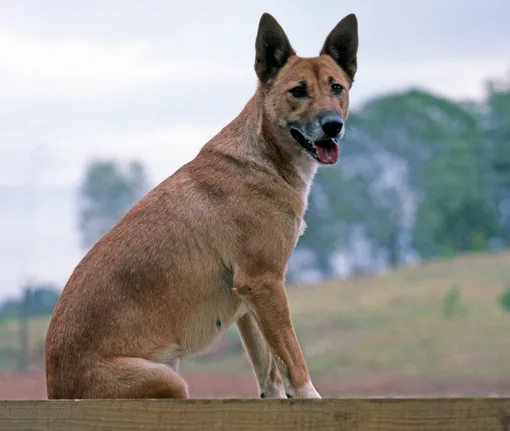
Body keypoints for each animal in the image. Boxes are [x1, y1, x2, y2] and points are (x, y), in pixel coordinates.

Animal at [45, 11, 360, 402]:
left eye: (337, 88)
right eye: (298, 91)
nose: (333, 125)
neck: (264, 158)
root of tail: (56, 390)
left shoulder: (249, 298)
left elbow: (268, 369)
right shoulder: (265, 281)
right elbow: (292, 358)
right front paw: (310, 399)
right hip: (169, 379)